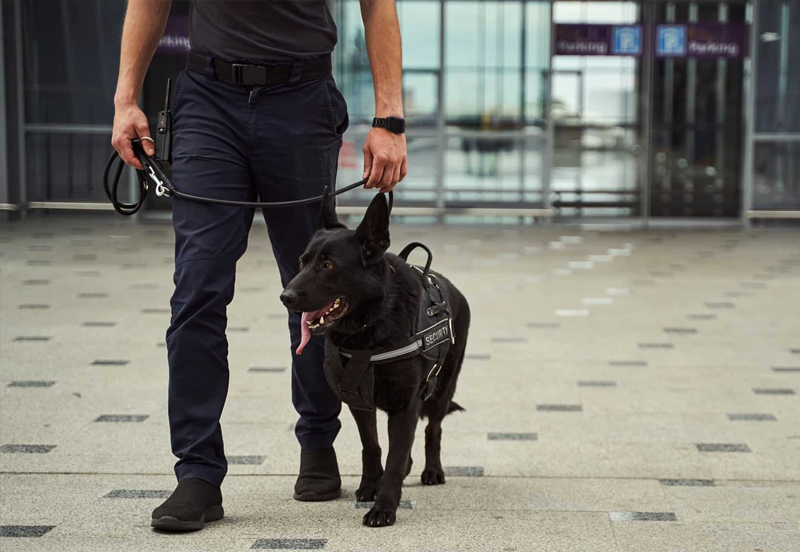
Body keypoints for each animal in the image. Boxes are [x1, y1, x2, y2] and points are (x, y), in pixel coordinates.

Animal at [282, 192, 468, 528]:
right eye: (303, 262)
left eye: (328, 264)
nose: (285, 297)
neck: (370, 328)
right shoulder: (358, 402)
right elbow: (372, 446)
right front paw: (370, 486)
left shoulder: (406, 405)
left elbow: (394, 459)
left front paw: (384, 507)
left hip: (442, 388)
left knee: (433, 429)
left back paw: (432, 470)